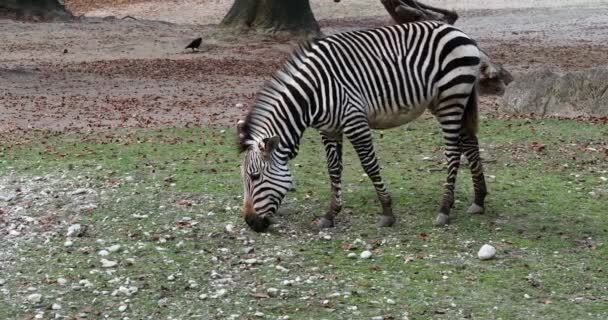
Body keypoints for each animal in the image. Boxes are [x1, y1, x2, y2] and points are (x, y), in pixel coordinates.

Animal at [235, 20, 486, 232]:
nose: (250, 223)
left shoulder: (355, 121)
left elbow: (369, 165)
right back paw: (479, 200)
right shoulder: (330, 129)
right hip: (449, 101)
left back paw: (444, 209)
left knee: (453, 151)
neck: (311, 95)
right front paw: (330, 215)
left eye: (255, 177)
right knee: (469, 142)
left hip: (451, 98)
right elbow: (333, 169)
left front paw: (387, 212)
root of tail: (457, 31)